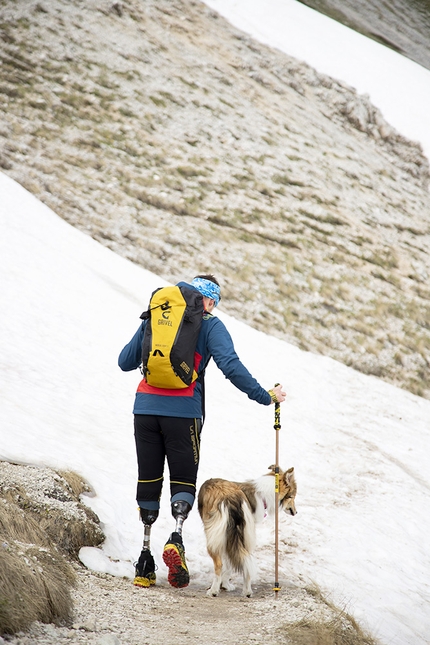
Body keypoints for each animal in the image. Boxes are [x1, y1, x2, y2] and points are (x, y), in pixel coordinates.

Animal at [197, 466, 296, 596]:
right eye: (292, 496)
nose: (295, 512)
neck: (262, 495)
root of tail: (231, 499)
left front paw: (223, 585)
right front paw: (226, 585)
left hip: (215, 538)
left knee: (219, 564)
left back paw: (213, 591)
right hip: (246, 535)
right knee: (246, 562)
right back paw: (247, 591)